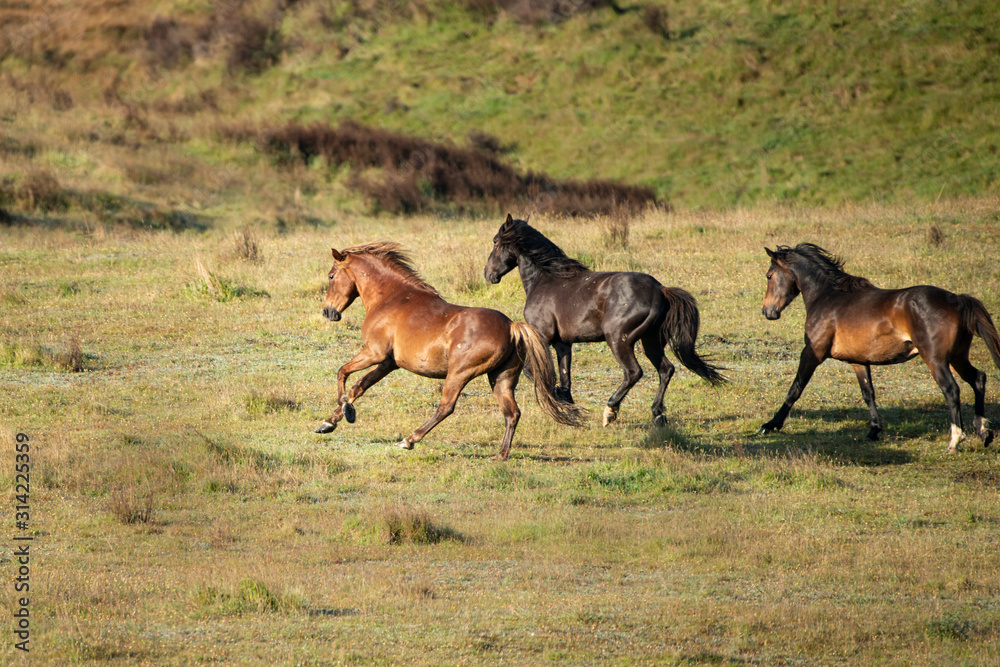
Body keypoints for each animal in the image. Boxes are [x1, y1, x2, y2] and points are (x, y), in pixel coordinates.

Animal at [316, 241, 583, 460]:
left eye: (331, 276)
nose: (328, 312)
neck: (391, 298)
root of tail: (511, 326)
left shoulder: (374, 352)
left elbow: (342, 372)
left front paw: (346, 410)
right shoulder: (388, 363)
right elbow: (359, 386)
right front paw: (329, 423)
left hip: (459, 373)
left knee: (446, 407)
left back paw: (409, 440)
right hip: (501, 378)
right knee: (512, 413)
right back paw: (500, 455)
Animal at [484, 214, 726, 428]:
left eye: (495, 242)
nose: (488, 274)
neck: (546, 281)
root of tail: (660, 290)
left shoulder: (541, 337)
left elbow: (534, 373)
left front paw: (562, 404)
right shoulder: (563, 344)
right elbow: (565, 377)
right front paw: (571, 409)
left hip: (618, 340)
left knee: (634, 372)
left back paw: (610, 411)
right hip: (651, 341)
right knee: (666, 369)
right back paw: (658, 414)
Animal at [759, 242, 1000, 453]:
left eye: (769, 276)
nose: (767, 312)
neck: (827, 297)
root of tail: (957, 300)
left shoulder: (812, 353)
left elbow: (795, 388)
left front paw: (771, 425)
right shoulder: (858, 360)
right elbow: (868, 393)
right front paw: (874, 431)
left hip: (936, 360)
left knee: (952, 390)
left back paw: (954, 441)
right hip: (958, 357)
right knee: (978, 378)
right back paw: (984, 431)